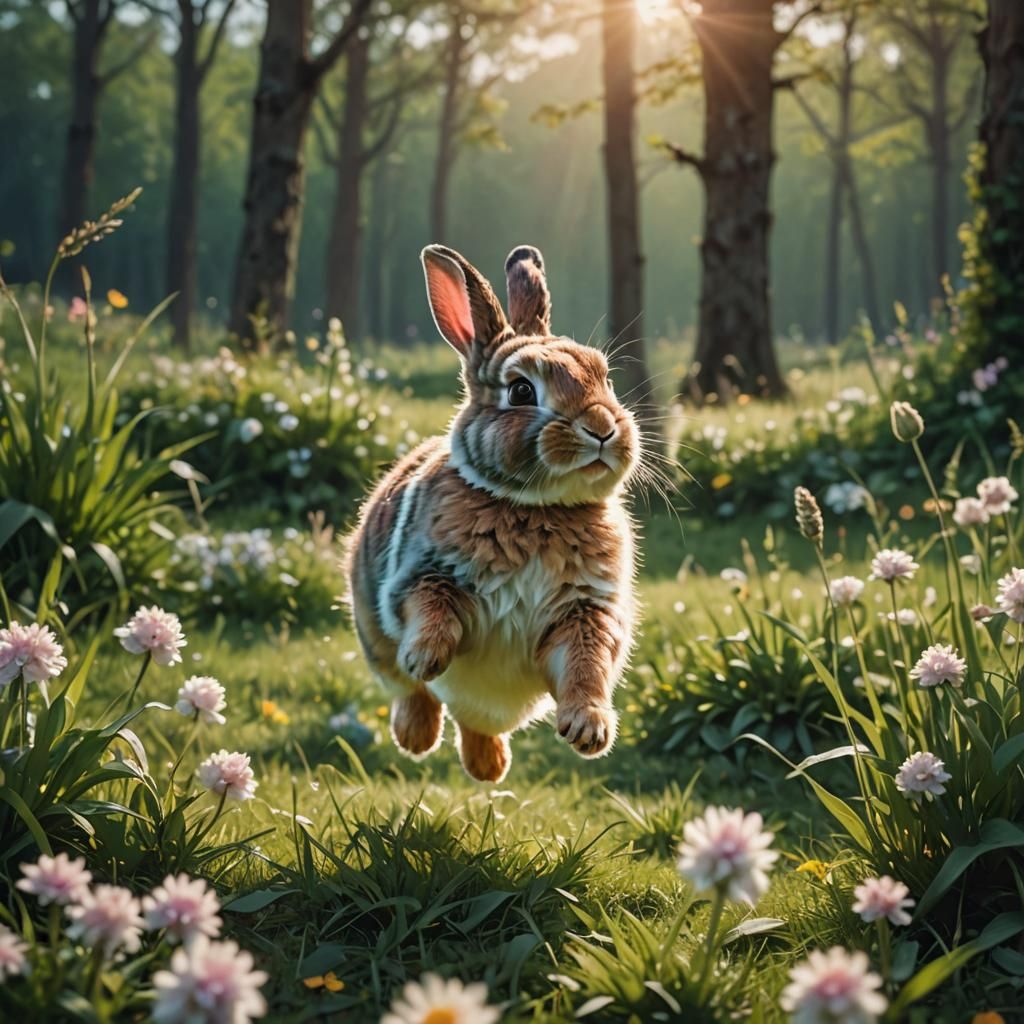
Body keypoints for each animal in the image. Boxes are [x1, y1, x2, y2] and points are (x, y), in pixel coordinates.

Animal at [344, 243, 639, 783]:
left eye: (604, 378)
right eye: (522, 391)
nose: (603, 427)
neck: (536, 508)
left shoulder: (586, 611)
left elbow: (586, 667)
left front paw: (590, 732)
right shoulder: (424, 577)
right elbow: (431, 611)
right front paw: (425, 657)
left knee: (476, 725)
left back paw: (489, 768)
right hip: (372, 633)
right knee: (410, 692)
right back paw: (417, 738)